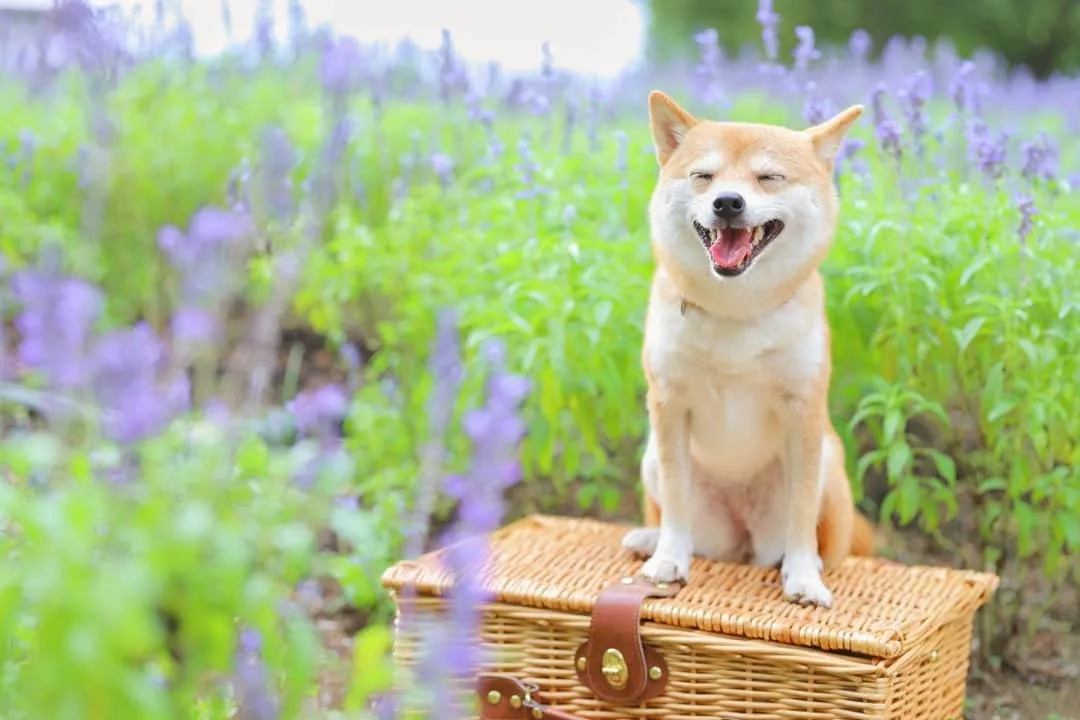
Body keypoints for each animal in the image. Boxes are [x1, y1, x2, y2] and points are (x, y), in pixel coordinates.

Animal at [626, 90, 876, 608]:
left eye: (768, 177)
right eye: (704, 176)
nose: (727, 202)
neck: (736, 311)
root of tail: (742, 540)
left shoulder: (803, 410)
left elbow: (801, 513)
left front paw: (802, 577)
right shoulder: (668, 405)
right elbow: (675, 502)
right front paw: (668, 560)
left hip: (828, 462)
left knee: (828, 545)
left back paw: (810, 563)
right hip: (652, 458)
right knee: (680, 523)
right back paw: (648, 539)